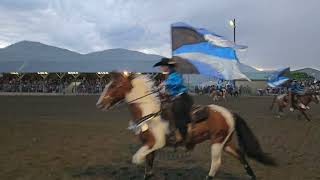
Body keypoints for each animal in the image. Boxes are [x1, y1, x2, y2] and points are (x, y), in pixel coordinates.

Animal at [94, 72, 276, 179]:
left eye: (114, 85)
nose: (99, 104)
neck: (150, 112)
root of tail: (230, 112)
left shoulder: (155, 143)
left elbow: (136, 159)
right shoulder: (149, 146)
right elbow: (148, 169)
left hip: (217, 142)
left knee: (216, 164)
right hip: (226, 142)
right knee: (241, 156)